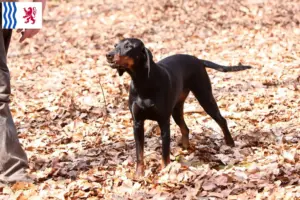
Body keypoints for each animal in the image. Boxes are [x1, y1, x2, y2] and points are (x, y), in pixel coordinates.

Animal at [105, 38, 251, 177]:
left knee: (221, 120)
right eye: (115, 45)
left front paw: (164, 172)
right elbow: (139, 153)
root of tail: (198, 60)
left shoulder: (164, 122)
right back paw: (186, 148)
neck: (143, 83)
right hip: (176, 110)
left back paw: (230, 142)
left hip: (205, 98)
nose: (108, 55)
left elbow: (165, 152)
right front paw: (139, 174)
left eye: (128, 46)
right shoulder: (137, 123)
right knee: (185, 128)